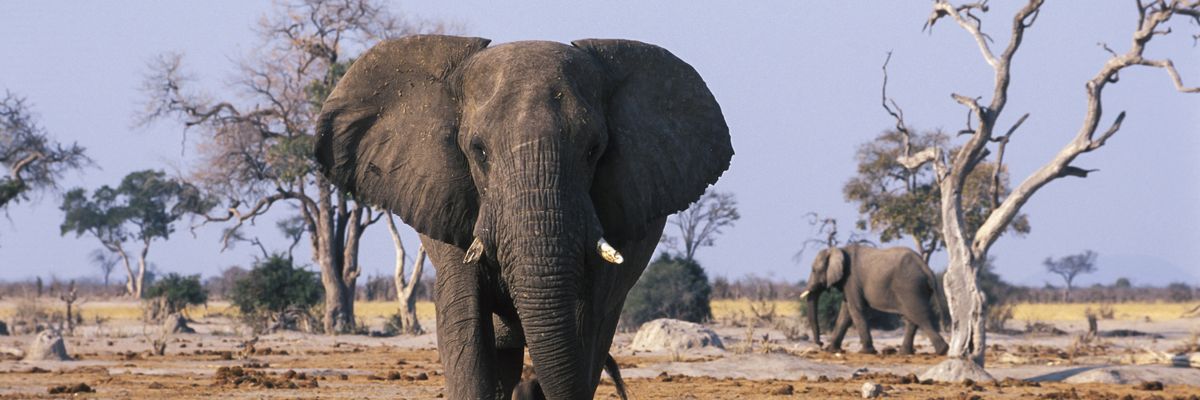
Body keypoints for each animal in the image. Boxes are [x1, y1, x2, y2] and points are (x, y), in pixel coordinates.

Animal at [800, 245, 949, 355]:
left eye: (814, 270)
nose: (820, 344)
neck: (838, 249)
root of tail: (926, 268)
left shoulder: (851, 279)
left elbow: (855, 310)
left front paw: (865, 352)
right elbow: (845, 313)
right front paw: (832, 350)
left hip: (910, 286)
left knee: (919, 316)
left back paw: (942, 351)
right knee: (912, 319)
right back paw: (904, 353)